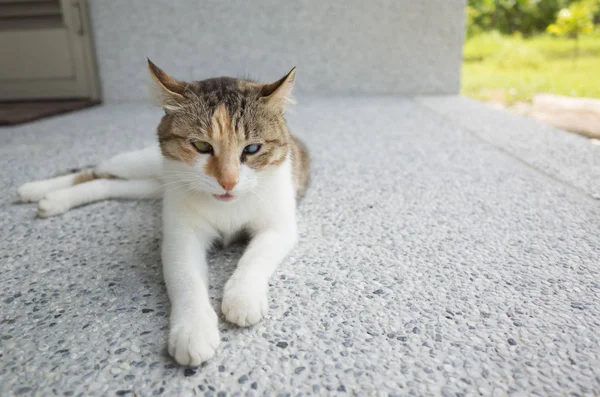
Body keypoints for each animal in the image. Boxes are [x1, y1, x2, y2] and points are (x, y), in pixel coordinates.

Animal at [17, 60, 312, 366]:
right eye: (201, 146)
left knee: (107, 183)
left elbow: (256, 257)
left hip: (150, 185)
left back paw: (53, 199)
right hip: (142, 164)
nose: (228, 182)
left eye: (252, 148)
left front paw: (243, 297)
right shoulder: (181, 237)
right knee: (98, 169)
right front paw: (193, 330)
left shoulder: (278, 225)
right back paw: (37, 190)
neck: (226, 206)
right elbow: (186, 279)